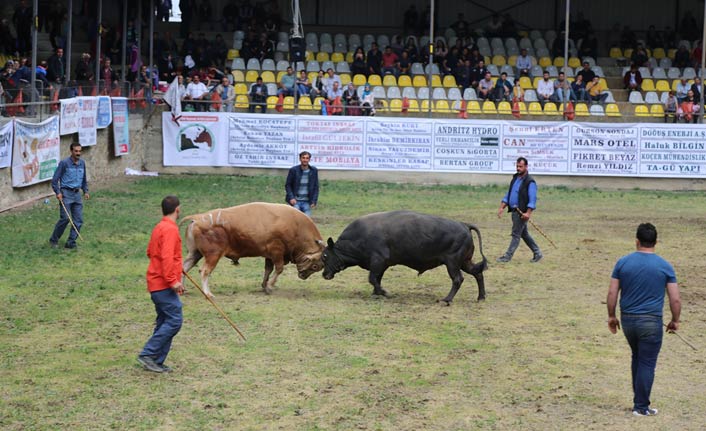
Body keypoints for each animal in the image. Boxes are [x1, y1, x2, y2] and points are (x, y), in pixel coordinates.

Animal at [182, 202, 324, 296]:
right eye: (316, 266)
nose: (303, 276)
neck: (296, 226)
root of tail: (197, 218)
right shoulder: (277, 252)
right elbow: (279, 269)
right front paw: (270, 286)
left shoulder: (269, 256)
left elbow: (268, 270)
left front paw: (265, 286)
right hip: (213, 255)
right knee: (204, 271)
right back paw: (208, 293)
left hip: (195, 253)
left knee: (185, 268)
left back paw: (182, 289)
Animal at [322, 212, 486, 306]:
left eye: (325, 256)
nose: (324, 274)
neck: (359, 236)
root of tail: (464, 225)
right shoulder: (382, 265)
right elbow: (376, 279)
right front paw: (376, 293)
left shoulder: (378, 261)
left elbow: (372, 278)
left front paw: (384, 292)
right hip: (464, 262)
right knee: (477, 272)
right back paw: (481, 297)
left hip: (452, 263)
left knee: (458, 279)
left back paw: (446, 300)